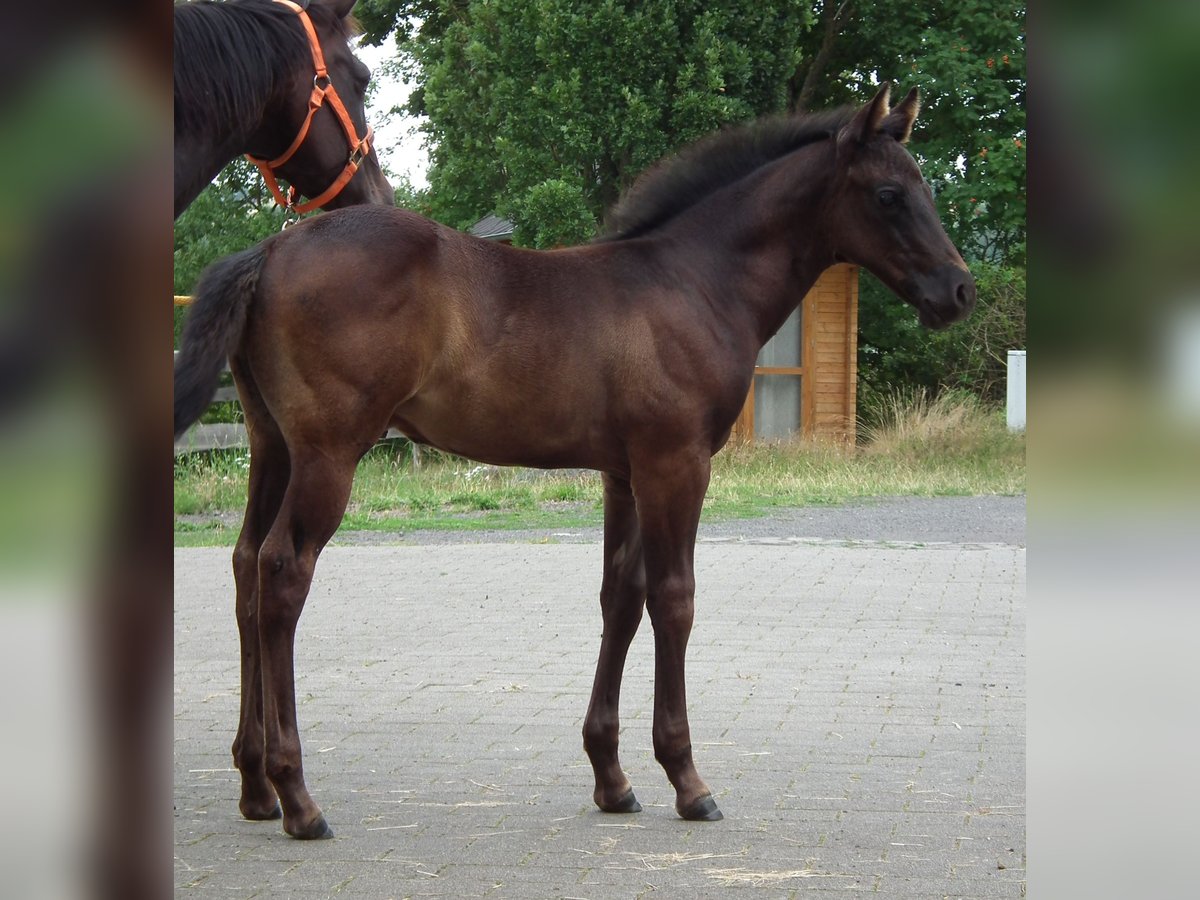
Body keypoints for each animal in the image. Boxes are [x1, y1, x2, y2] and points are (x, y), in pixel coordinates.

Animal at [173, 84, 975, 840]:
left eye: (929, 188)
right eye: (889, 195)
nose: (959, 291)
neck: (692, 283)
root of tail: (269, 251)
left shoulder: (624, 473)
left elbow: (621, 597)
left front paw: (613, 779)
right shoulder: (675, 464)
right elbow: (675, 599)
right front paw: (688, 781)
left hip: (273, 447)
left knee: (245, 567)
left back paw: (254, 786)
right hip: (329, 454)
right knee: (283, 573)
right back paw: (299, 798)